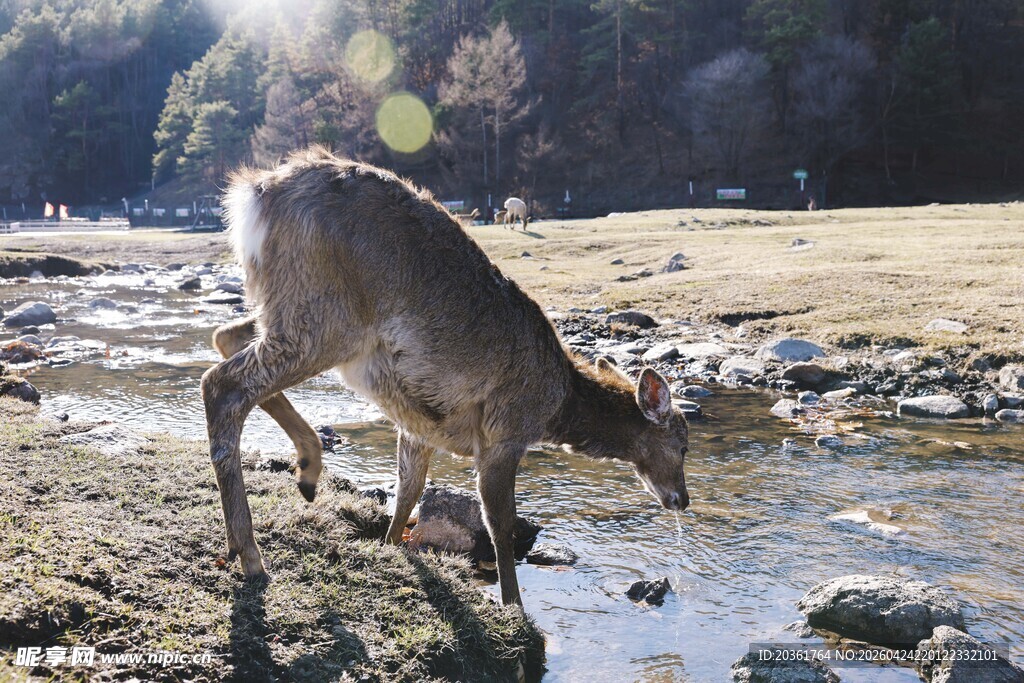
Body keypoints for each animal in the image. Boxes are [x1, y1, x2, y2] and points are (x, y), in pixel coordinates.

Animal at [204, 146, 690, 607]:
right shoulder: (503, 434)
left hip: (288, 307)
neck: (555, 405)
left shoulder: (421, 424)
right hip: (324, 315)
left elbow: (409, 489)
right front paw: (516, 607)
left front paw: (390, 546)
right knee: (222, 383)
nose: (682, 500)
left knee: (225, 334)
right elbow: (500, 524)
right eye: (683, 445)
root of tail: (252, 196)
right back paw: (251, 554)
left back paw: (306, 473)